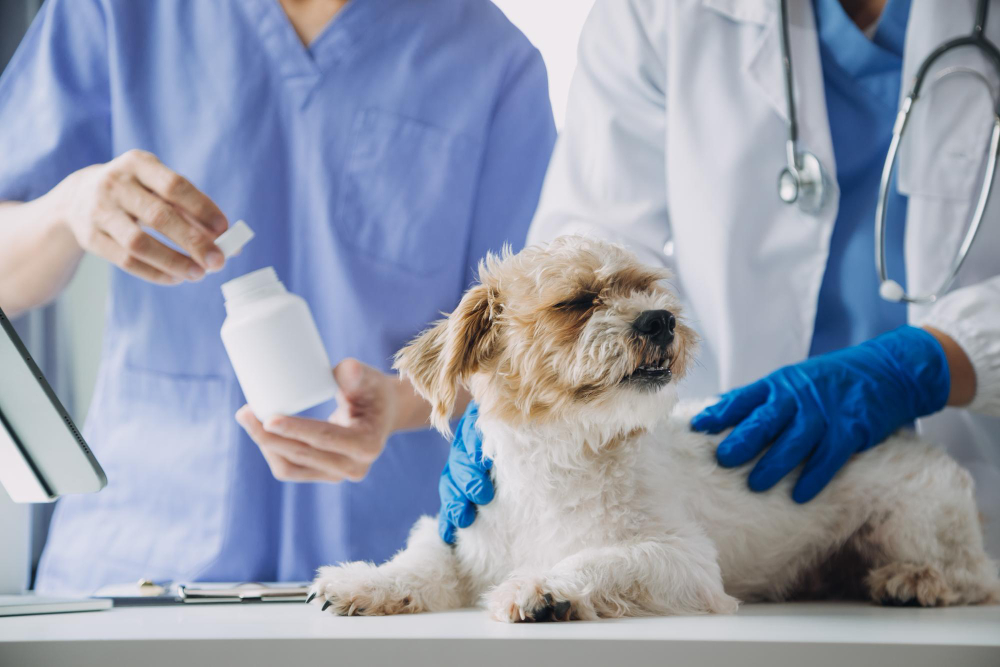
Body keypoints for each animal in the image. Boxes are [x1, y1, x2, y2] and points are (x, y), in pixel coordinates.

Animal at [308, 236, 996, 620]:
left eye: (647, 289)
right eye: (576, 301)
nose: (660, 319)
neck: (557, 458)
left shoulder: (682, 561)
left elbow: (602, 559)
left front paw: (547, 586)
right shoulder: (462, 536)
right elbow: (422, 564)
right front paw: (364, 582)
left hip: (915, 521)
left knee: (976, 578)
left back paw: (914, 581)